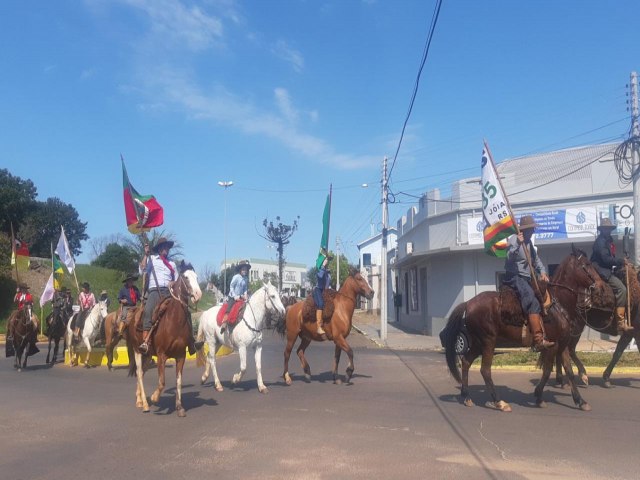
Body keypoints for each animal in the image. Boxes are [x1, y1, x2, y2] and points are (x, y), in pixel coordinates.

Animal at [126, 262, 201, 416]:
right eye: (186, 277)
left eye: (197, 277)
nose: (198, 294)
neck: (174, 320)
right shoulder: (161, 355)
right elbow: (162, 382)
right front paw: (155, 397)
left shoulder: (181, 355)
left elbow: (178, 381)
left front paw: (179, 407)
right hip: (137, 351)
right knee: (139, 373)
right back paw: (145, 404)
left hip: (148, 355)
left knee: (142, 372)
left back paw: (140, 400)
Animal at [440, 249, 596, 410]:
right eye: (587, 264)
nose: (597, 284)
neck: (558, 303)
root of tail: (468, 303)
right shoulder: (552, 345)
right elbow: (547, 371)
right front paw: (538, 396)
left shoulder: (562, 344)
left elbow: (569, 371)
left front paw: (580, 401)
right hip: (488, 341)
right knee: (485, 370)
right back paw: (498, 402)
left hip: (478, 343)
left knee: (466, 362)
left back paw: (466, 396)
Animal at [552, 246, 640, 388]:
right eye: (586, 264)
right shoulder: (634, 332)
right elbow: (619, 353)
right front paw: (606, 378)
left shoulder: (630, 333)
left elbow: (618, 352)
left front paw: (606, 378)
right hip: (577, 326)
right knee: (569, 349)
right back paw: (581, 375)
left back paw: (561, 380)